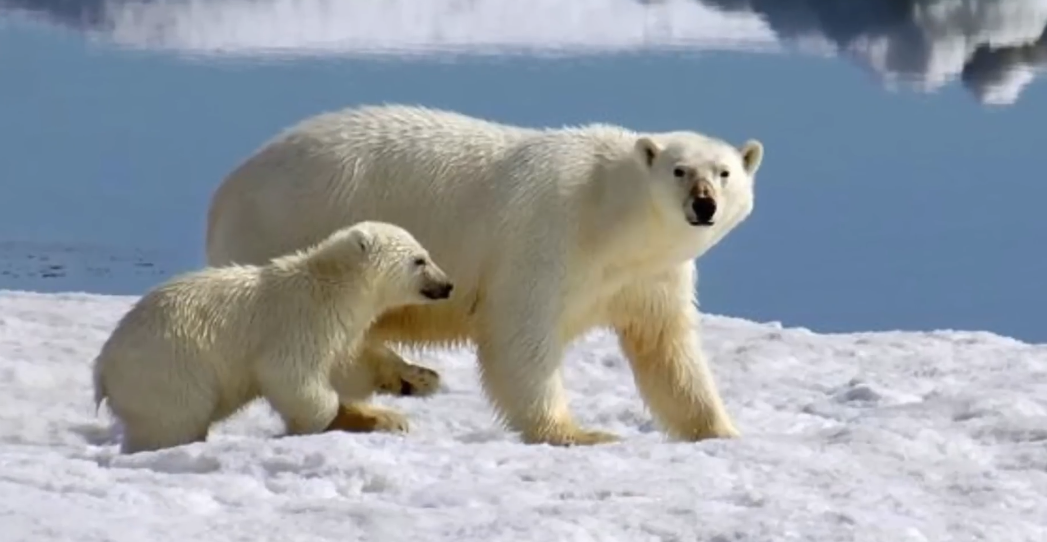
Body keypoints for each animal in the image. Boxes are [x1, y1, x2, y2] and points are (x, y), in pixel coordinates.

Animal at [96, 220, 456, 454]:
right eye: (419, 259)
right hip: (169, 370)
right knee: (173, 422)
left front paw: (418, 380)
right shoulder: (298, 323)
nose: (448, 284)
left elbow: (350, 365)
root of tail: (102, 368)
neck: (331, 287)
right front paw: (323, 420)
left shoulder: (335, 330)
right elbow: (290, 376)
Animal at [206, 104, 762, 447]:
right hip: (287, 231)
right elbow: (520, 334)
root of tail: (224, 193)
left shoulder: (651, 276)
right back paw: (385, 398)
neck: (609, 215)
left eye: (725, 172)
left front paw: (722, 431)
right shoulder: (547, 233)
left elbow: (667, 351)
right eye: (680, 170)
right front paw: (579, 433)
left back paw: (401, 385)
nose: (704, 205)